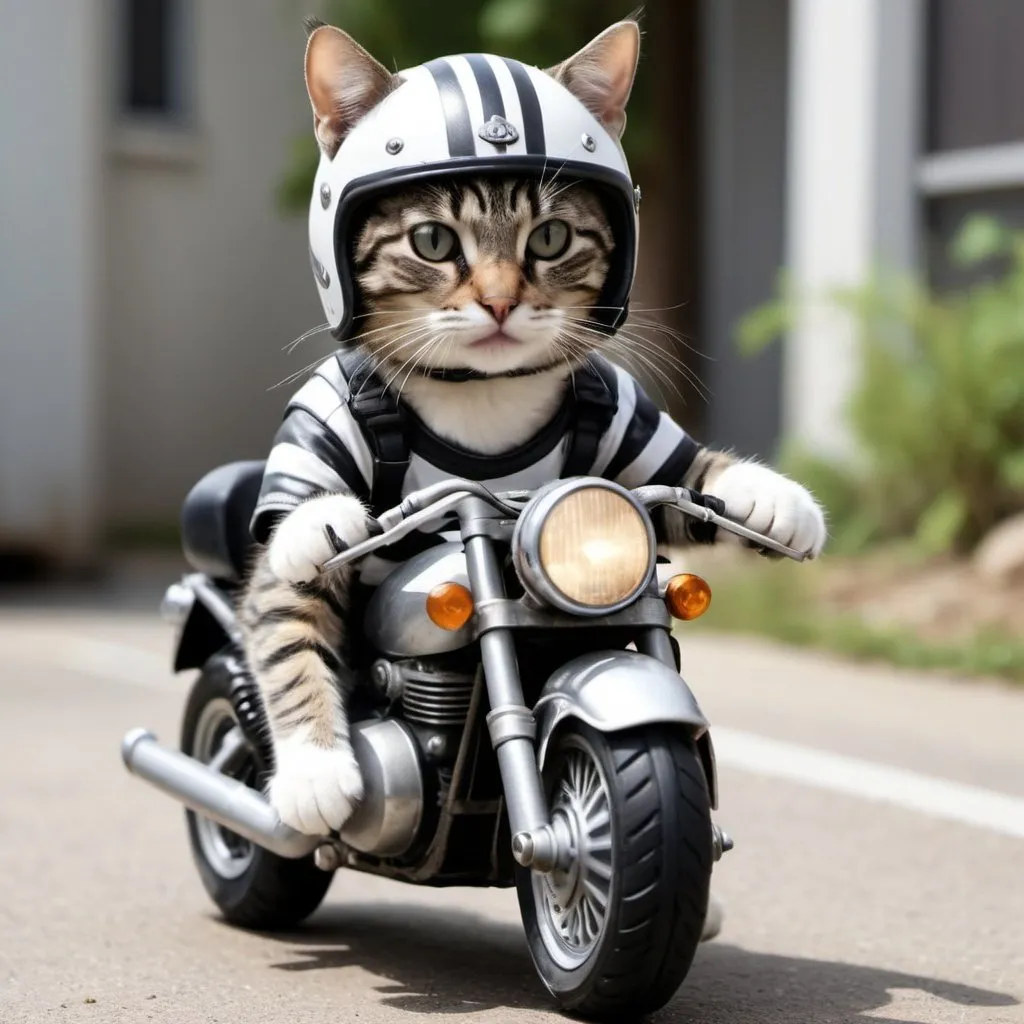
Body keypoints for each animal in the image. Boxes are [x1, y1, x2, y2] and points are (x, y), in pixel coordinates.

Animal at [235, 16, 827, 835]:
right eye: (432, 242)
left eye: (550, 239)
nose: (499, 303)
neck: (481, 401)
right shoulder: (322, 425)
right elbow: (285, 612)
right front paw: (315, 772)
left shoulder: (625, 427)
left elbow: (686, 477)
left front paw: (780, 501)